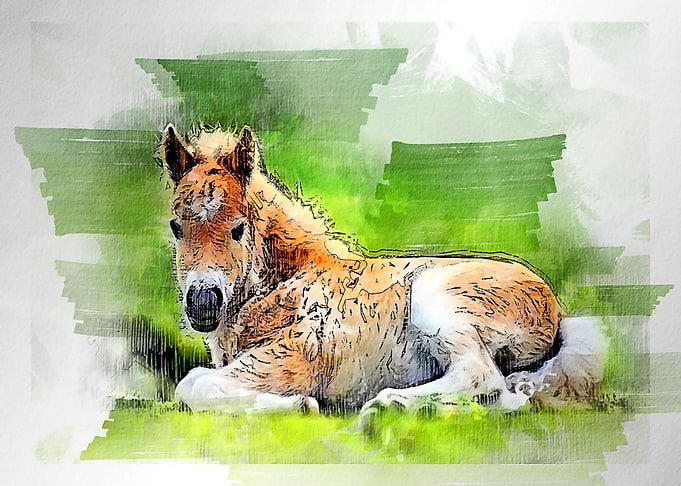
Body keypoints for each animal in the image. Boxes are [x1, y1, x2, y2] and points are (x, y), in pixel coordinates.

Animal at [161, 123, 606, 419]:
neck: (287, 283)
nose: (203, 302)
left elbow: (194, 383)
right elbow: (195, 382)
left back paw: (387, 405)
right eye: (175, 226)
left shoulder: (294, 355)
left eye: (238, 227)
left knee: (481, 375)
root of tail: (556, 311)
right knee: (507, 395)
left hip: (435, 298)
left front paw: (300, 405)